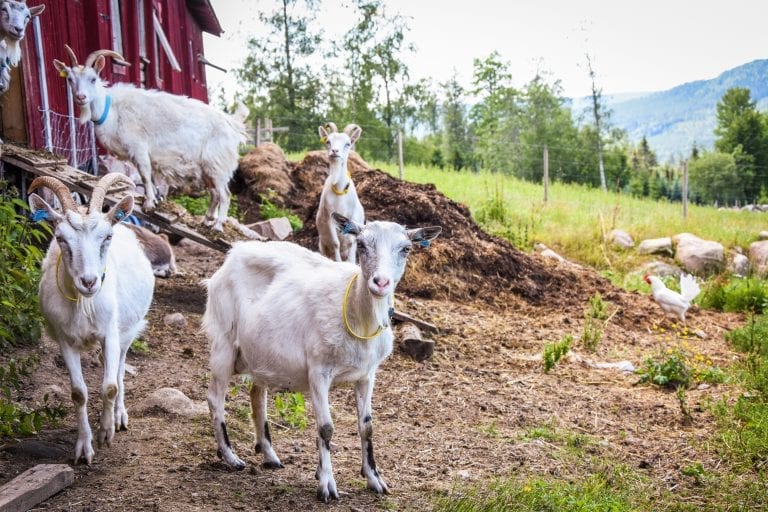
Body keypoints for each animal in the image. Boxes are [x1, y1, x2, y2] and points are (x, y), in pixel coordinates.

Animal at [26, 173, 154, 464]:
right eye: (60, 238)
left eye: (106, 236)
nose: (89, 281)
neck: (84, 305)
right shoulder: (64, 339)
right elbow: (78, 393)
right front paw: (84, 448)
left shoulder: (110, 333)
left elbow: (109, 386)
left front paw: (106, 432)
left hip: (128, 330)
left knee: (119, 368)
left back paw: (118, 416)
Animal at [53, 46, 246, 232]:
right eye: (70, 79)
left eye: (93, 79)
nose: (81, 97)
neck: (112, 109)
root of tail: (233, 125)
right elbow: (149, 177)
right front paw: (153, 199)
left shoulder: (138, 147)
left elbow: (145, 175)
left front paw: (148, 204)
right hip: (208, 169)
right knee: (214, 194)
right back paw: (206, 221)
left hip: (218, 165)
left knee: (225, 194)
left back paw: (218, 226)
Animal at [201, 211, 440, 500]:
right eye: (361, 244)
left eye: (406, 249)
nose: (381, 283)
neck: (358, 316)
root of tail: (234, 252)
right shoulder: (318, 371)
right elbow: (326, 428)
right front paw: (327, 484)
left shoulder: (367, 375)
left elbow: (367, 427)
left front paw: (374, 479)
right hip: (223, 340)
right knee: (215, 398)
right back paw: (230, 456)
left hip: (261, 353)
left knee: (257, 396)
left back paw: (269, 455)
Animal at [318, 122, 366, 262]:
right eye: (328, 141)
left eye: (348, 143)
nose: (335, 151)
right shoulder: (329, 217)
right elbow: (335, 243)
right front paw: (339, 263)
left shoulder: (352, 217)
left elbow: (351, 242)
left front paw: (350, 263)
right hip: (321, 243)